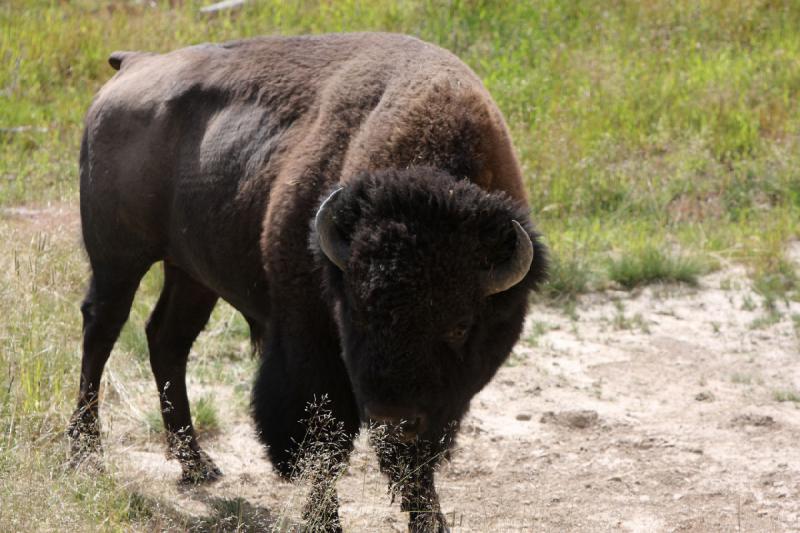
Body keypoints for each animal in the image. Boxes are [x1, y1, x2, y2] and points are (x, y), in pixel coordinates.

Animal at [69, 34, 548, 532]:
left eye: (460, 326)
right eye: (356, 313)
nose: (391, 416)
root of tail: (134, 64)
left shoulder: (437, 403)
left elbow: (415, 463)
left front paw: (430, 522)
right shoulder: (311, 347)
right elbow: (322, 444)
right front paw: (325, 521)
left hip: (191, 275)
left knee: (167, 340)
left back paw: (197, 465)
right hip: (118, 259)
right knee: (101, 332)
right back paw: (86, 455)